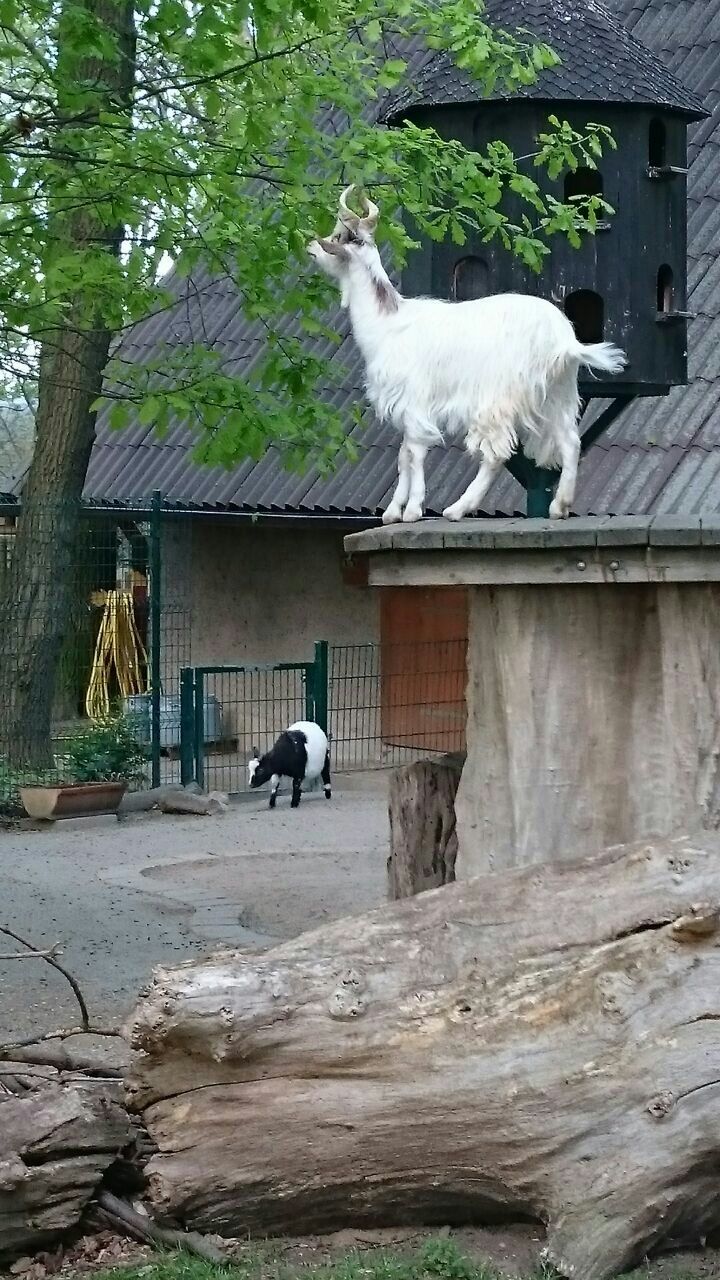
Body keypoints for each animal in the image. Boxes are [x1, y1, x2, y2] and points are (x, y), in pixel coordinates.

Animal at [304, 184, 625, 519]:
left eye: (338, 236)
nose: (311, 245)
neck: (388, 323)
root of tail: (563, 339)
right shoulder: (407, 407)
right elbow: (404, 455)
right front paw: (393, 511)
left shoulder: (415, 400)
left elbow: (414, 453)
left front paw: (413, 509)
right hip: (556, 394)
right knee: (570, 441)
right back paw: (559, 506)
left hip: (499, 397)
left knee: (496, 452)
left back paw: (457, 508)